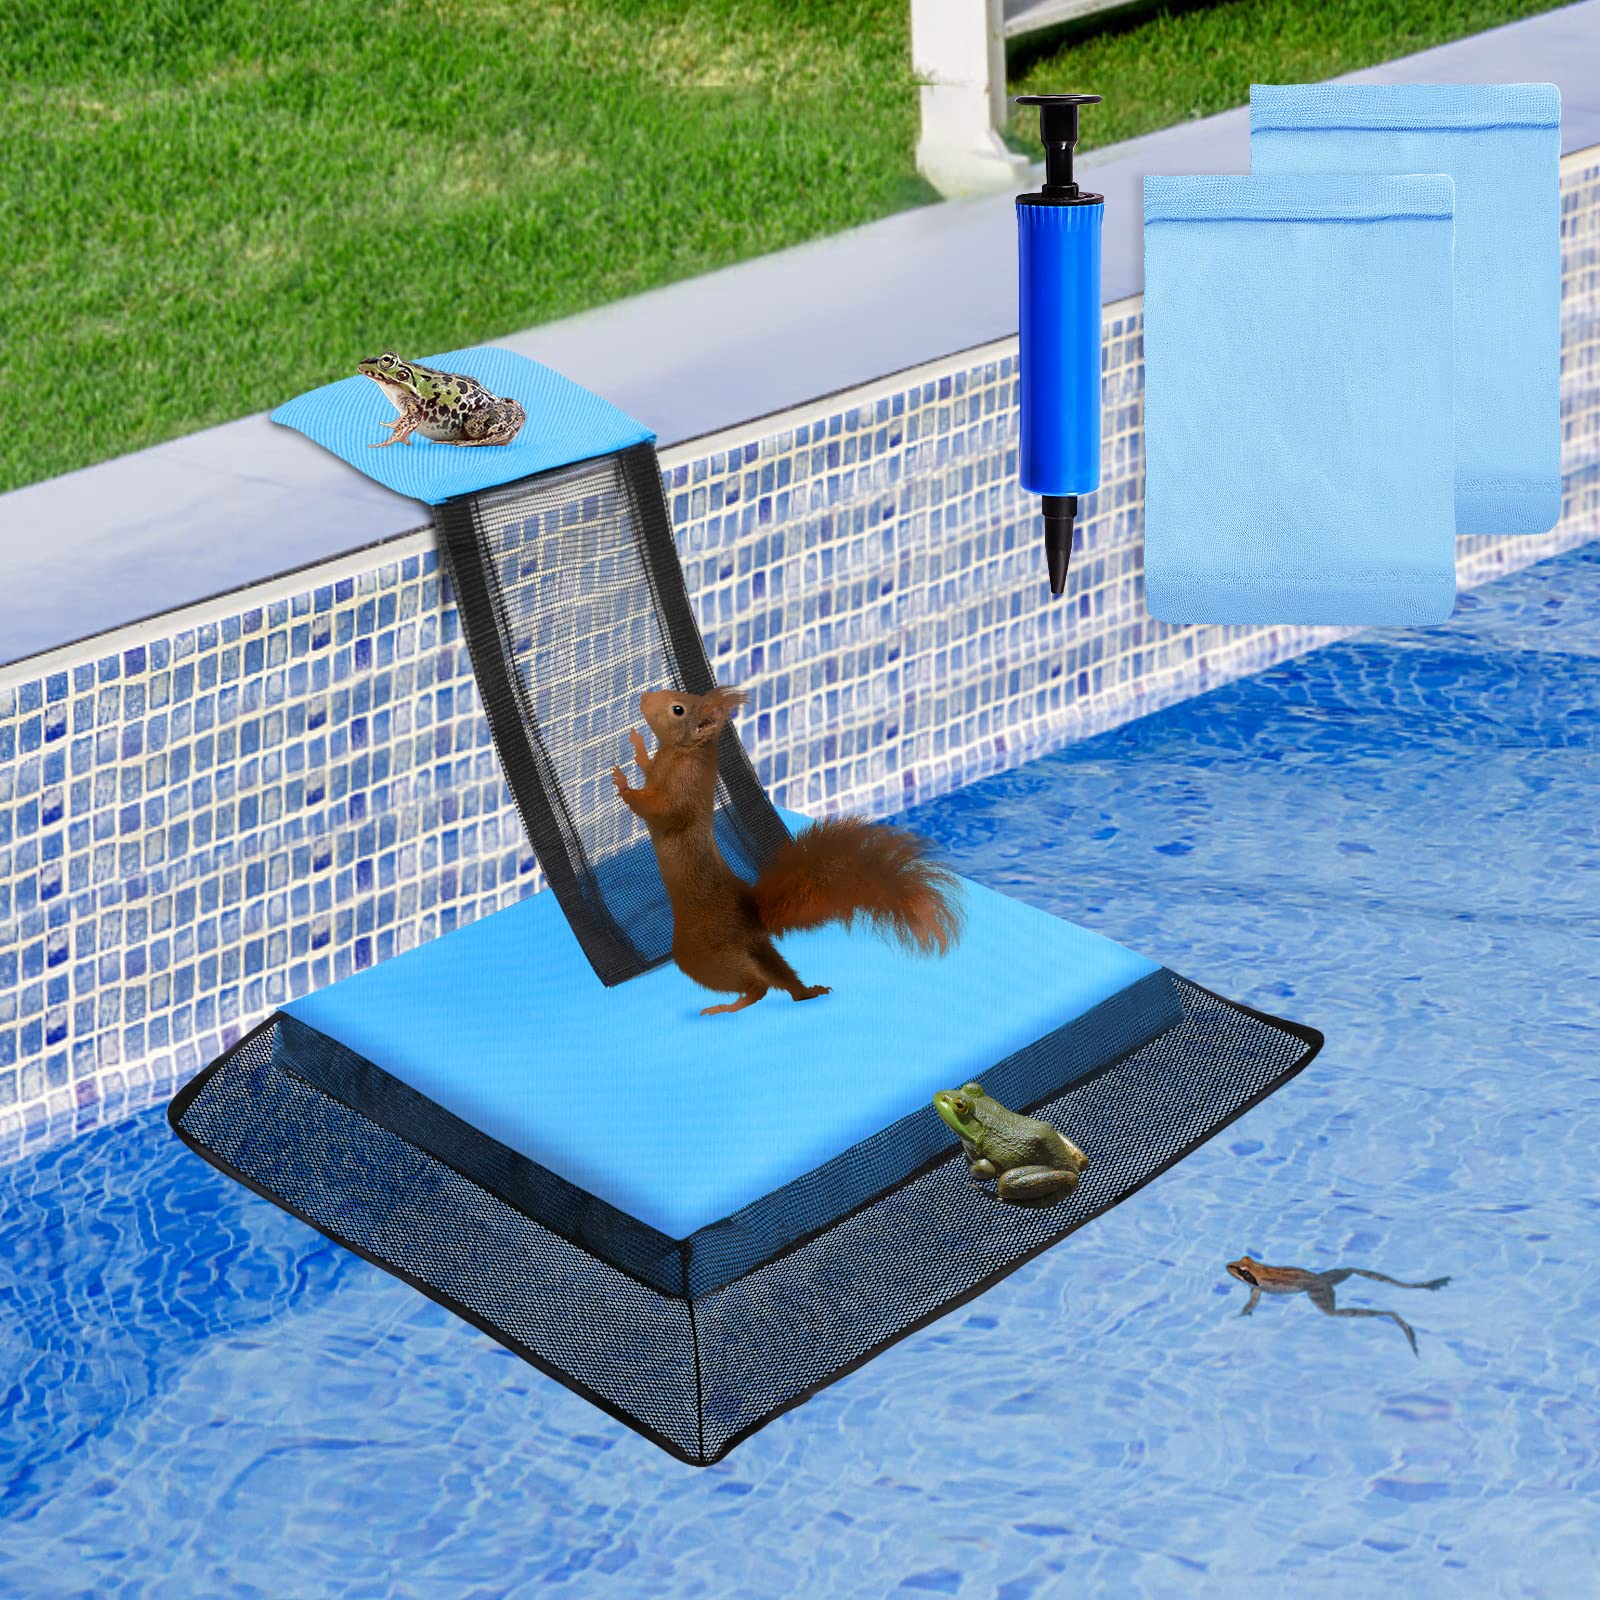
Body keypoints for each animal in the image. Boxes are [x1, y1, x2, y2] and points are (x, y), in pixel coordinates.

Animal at [611, 687, 964, 1016]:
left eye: (678, 709)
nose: (644, 698)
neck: (680, 752)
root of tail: (751, 916)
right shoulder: (661, 772)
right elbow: (647, 767)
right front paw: (638, 746)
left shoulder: (683, 792)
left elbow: (659, 811)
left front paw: (624, 785)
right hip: (757, 949)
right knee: (781, 978)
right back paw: (807, 992)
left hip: (702, 953)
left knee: (758, 985)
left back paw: (727, 1007)